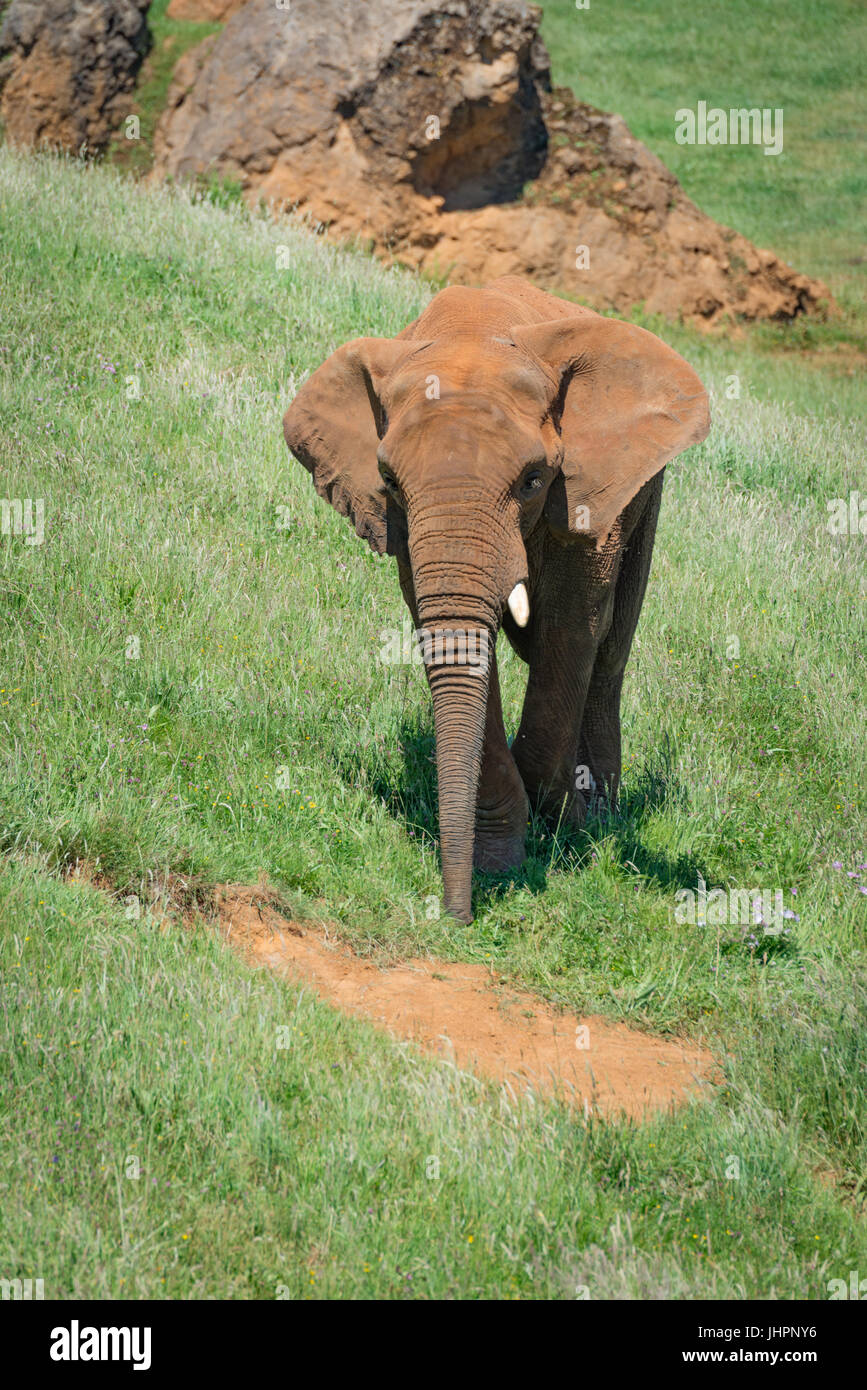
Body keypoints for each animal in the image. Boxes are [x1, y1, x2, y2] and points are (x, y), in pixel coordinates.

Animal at [286, 273, 711, 922]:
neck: (473, 334)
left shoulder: (585, 489)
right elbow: (452, 634)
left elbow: (572, 625)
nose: (455, 917)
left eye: (533, 481)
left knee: (610, 649)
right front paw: (500, 861)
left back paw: (602, 815)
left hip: (646, 489)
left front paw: (565, 831)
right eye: (388, 483)